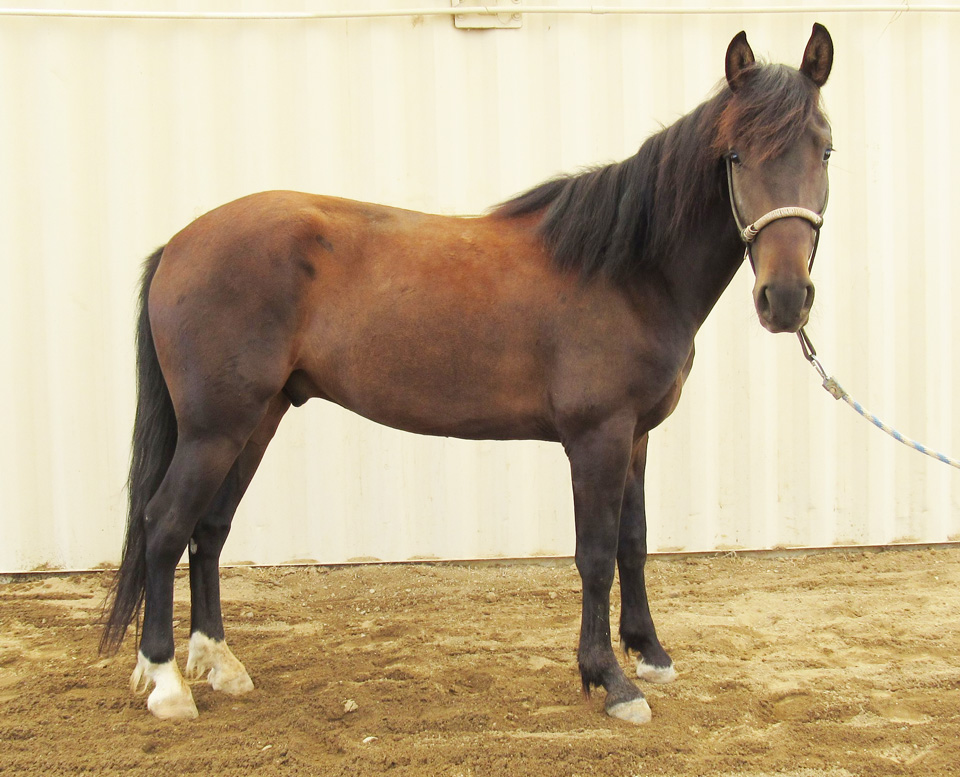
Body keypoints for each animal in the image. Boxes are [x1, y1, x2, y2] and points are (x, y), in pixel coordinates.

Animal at [100, 24, 834, 724]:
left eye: (824, 150)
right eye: (735, 156)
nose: (785, 298)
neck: (627, 271)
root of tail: (180, 244)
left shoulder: (636, 436)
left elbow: (633, 542)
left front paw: (649, 653)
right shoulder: (596, 437)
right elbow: (595, 555)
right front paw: (610, 679)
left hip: (256, 420)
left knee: (208, 529)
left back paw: (219, 663)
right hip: (215, 427)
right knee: (164, 524)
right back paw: (166, 682)